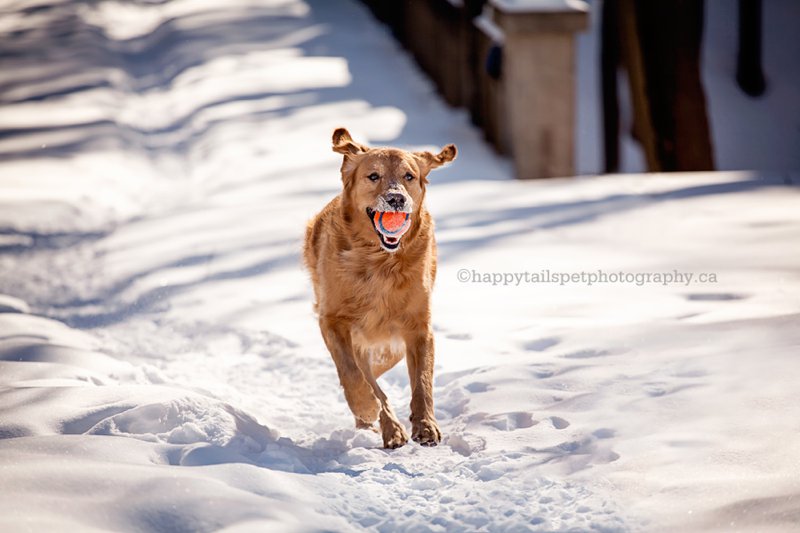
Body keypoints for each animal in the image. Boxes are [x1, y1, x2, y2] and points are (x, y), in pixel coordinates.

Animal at [304, 129, 456, 448]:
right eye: (373, 176)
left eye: (409, 176)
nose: (396, 199)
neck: (379, 262)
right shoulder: (333, 321)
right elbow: (352, 373)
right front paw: (367, 407)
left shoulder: (418, 328)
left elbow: (423, 381)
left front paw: (426, 425)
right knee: (365, 376)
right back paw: (380, 425)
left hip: (390, 346)